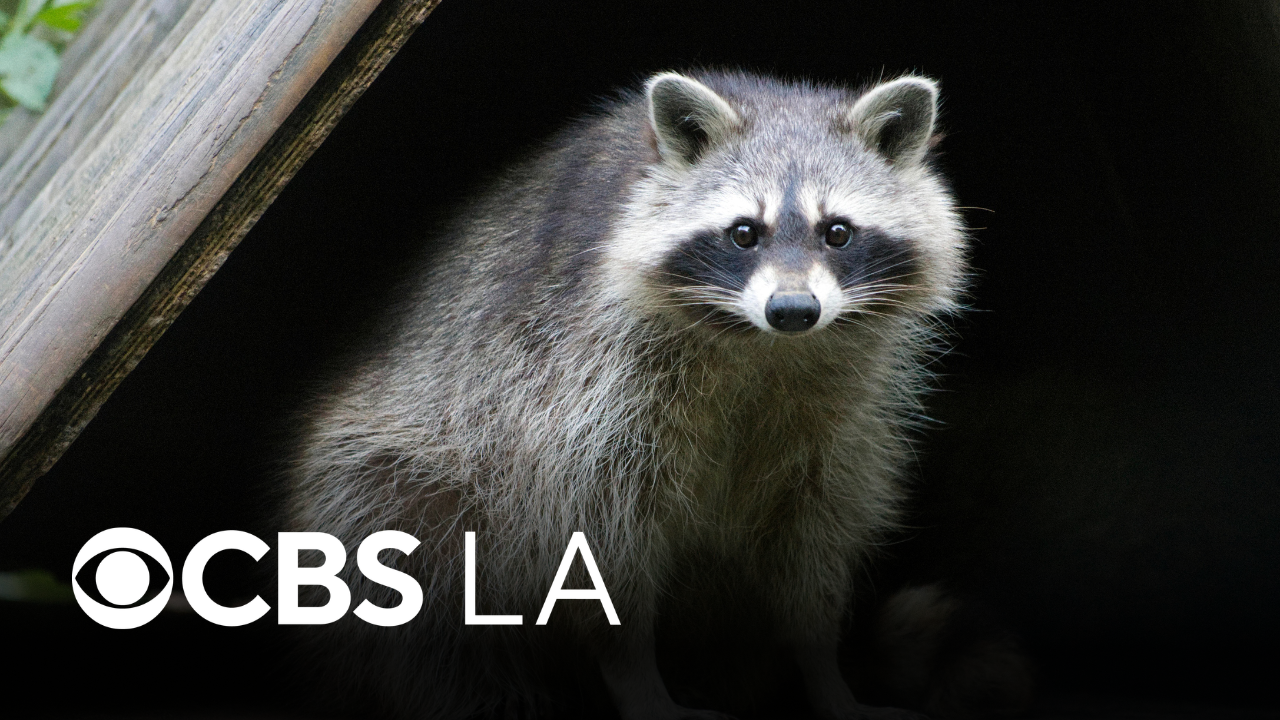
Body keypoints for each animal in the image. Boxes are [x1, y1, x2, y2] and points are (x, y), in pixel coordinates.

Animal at [283, 70, 967, 720]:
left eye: (838, 233)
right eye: (744, 233)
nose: (793, 310)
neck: (764, 346)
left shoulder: (847, 415)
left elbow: (815, 533)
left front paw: (822, 666)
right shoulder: (581, 379)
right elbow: (595, 532)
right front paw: (634, 672)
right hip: (397, 468)